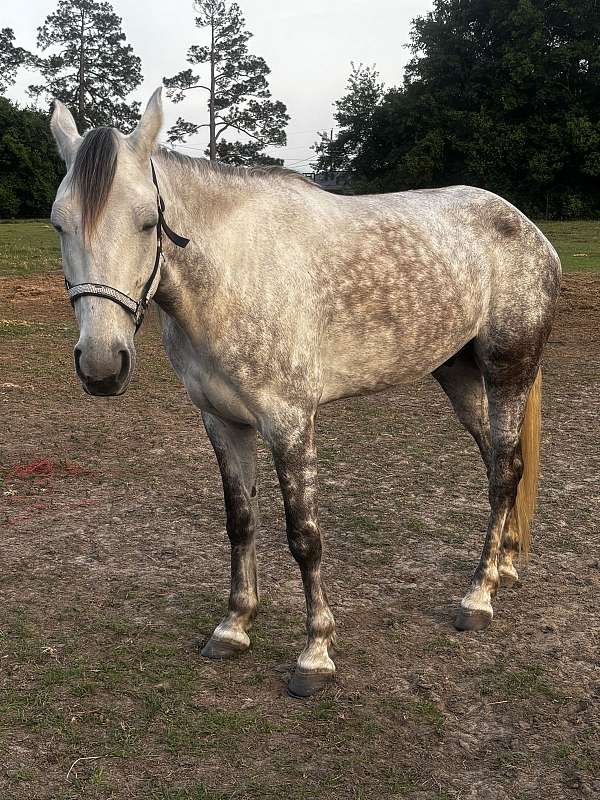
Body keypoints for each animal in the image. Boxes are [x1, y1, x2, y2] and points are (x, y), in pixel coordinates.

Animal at [50, 89, 561, 697]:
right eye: (58, 225)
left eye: (149, 221)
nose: (102, 365)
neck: (233, 273)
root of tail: (527, 228)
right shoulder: (221, 420)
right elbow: (240, 521)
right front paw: (234, 626)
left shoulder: (289, 422)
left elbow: (304, 536)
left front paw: (315, 653)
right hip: (457, 375)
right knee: (497, 465)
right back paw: (503, 564)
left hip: (509, 370)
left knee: (505, 471)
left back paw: (478, 597)